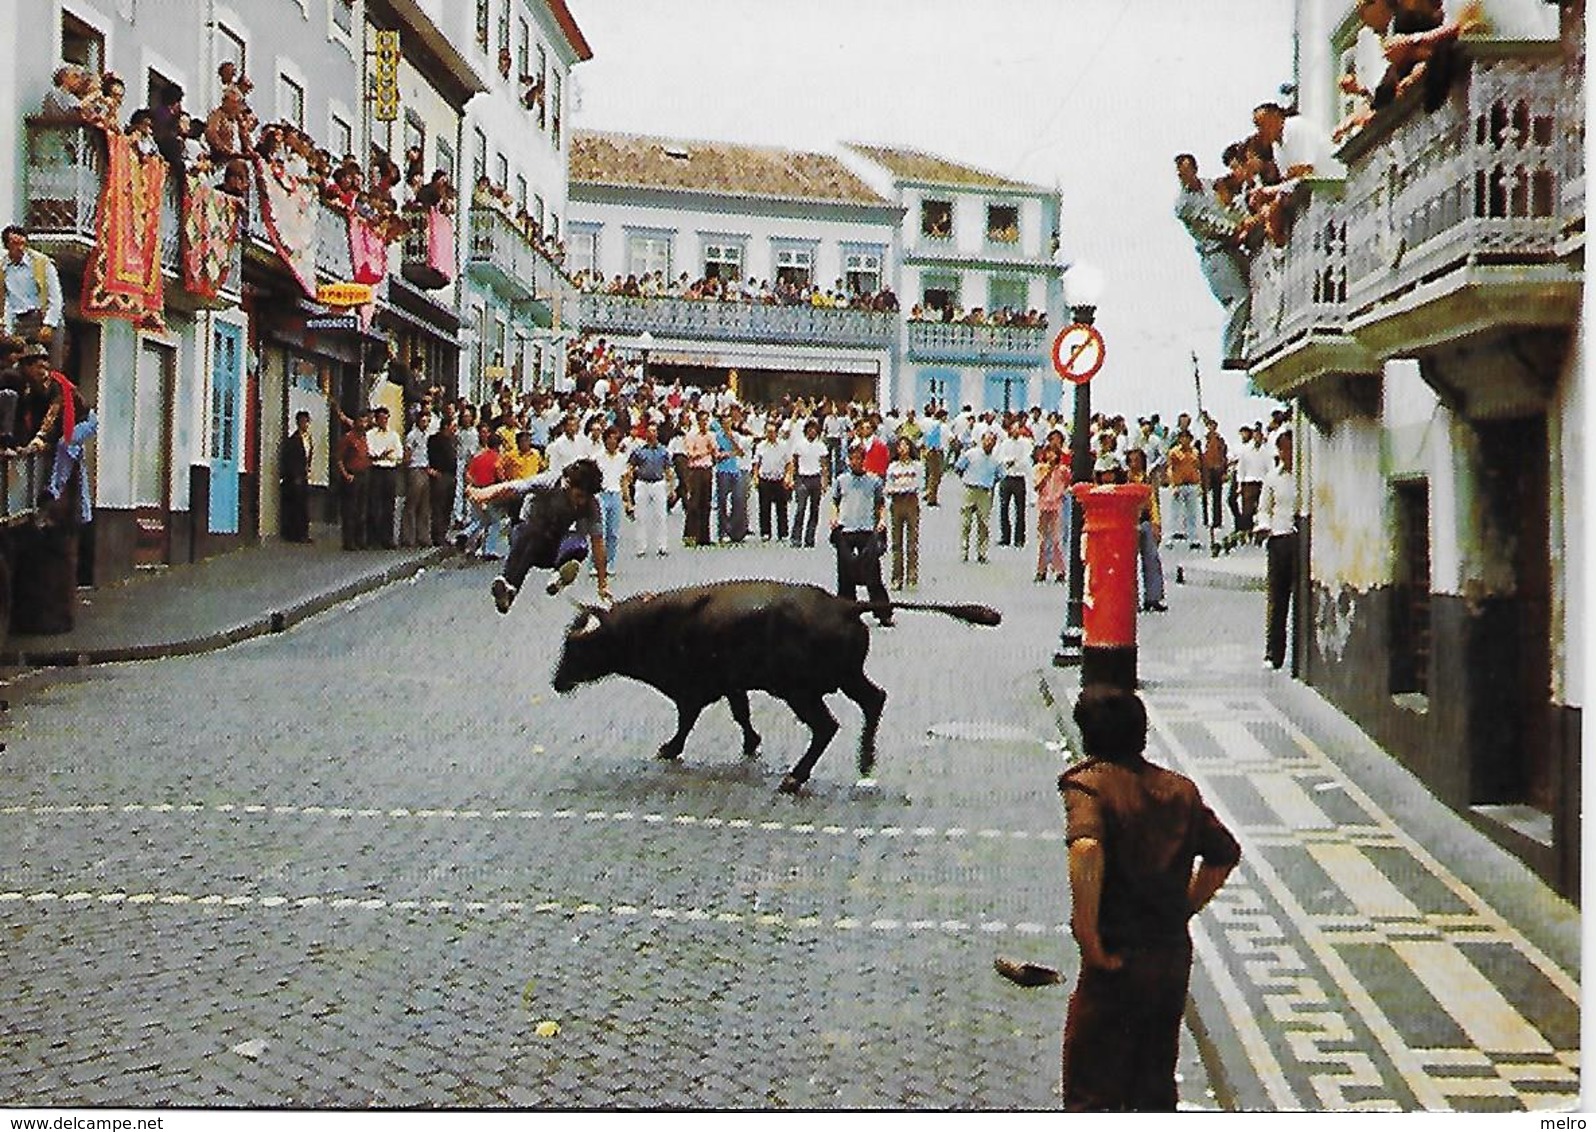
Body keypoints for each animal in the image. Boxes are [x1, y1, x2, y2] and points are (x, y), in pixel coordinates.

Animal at [549, 577, 995, 791]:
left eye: (576, 647)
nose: (556, 682)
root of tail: (844, 604)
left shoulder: (692, 690)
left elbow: (687, 721)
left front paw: (669, 748)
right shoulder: (733, 685)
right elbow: (741, 713)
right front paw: (751, 743)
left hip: (803, 692)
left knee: (826, 726)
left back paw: (796, 778)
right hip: (847, 678)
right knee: (875, 700)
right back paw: (865, 759)